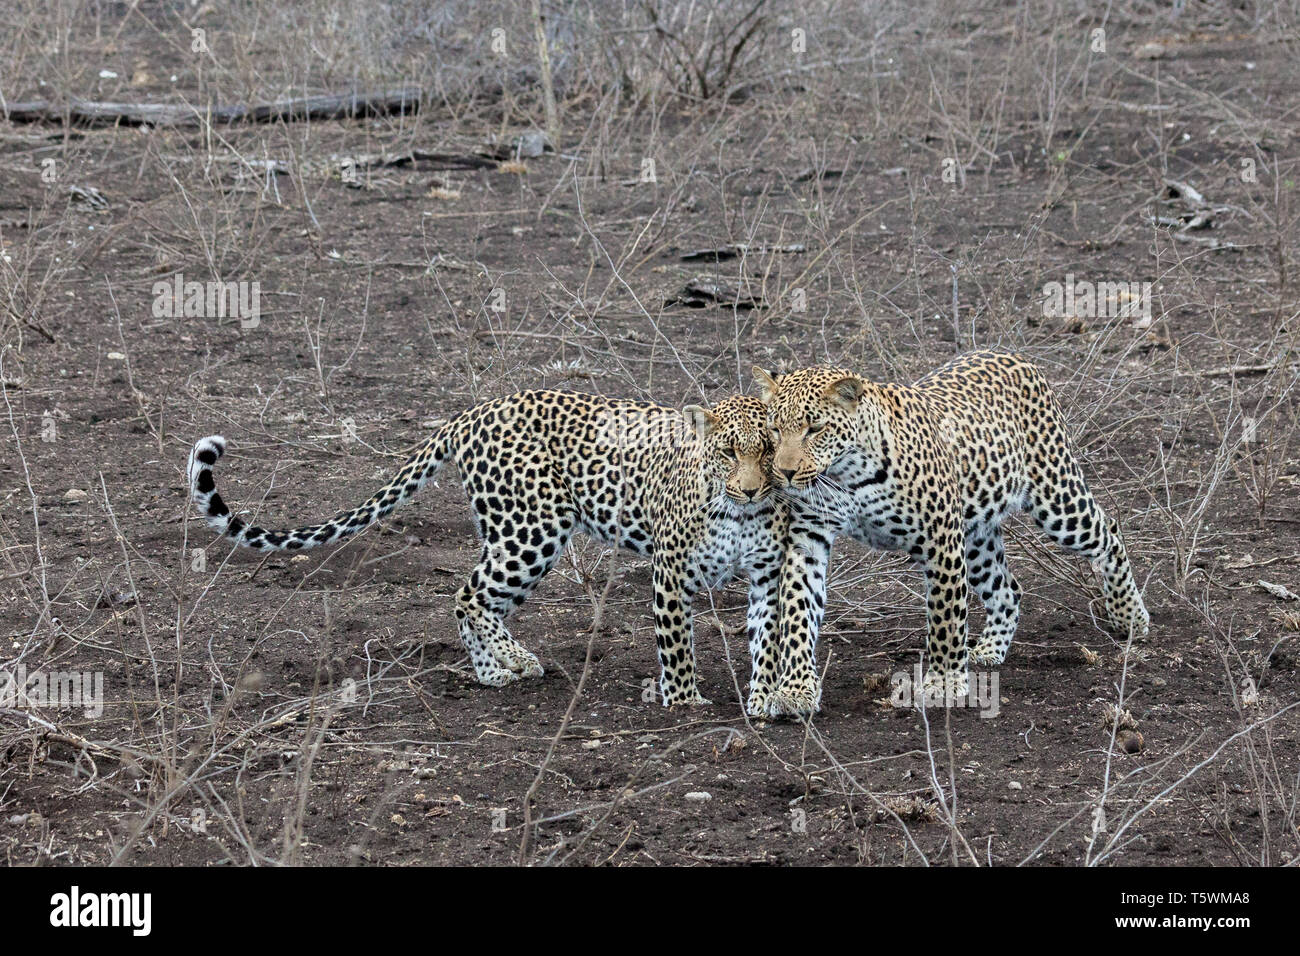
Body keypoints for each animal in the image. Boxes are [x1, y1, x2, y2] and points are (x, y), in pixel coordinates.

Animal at [188, 390, 785, 712]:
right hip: (534, 528)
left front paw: (768, 699)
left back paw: (492, 671)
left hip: (513, 534)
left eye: (769, 449)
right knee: (470, 594)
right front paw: (684, 701)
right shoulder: (671, 571)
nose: (753, 489)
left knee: (473, 598)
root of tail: (472, 412)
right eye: (728, 452)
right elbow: (677, 644)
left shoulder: (768, 574)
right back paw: (515, 659)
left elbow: (771, 638)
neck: (738, 511)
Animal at [754, 348, 1149, 712]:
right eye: (774, 429)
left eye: (815, 428)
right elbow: (796, 611)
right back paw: (989, 649)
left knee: (1109, 532)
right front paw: (795, 689)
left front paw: (943, 683)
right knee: (1008, 588)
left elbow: (946, 616)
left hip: (1056, 498)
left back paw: (1129, 616)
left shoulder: (941, 534)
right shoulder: (808, 538)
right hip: (976, 536)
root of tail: (1014, 354)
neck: (846, 474)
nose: (785, 473)